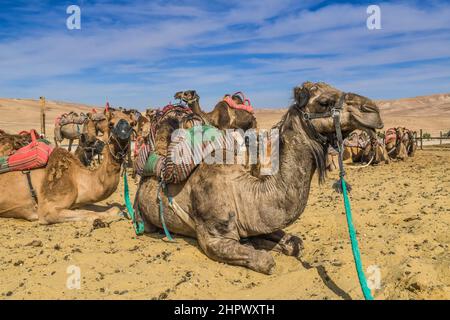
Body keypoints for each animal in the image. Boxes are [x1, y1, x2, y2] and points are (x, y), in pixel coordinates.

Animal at [0, 111, 134, 224]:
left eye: (132, 124)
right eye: (111, 124)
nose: (123, 135)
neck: (77, 177)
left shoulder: (78, 202)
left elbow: (111, 208)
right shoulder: (47, 210)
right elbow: (91, 214)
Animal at [137, 81, 384, 274]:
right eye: (324, 102)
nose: (373, 109)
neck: (244, 191)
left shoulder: (258, 220)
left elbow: (294, 243)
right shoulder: (213, 238)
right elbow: (266, 261)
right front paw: (260, 248)